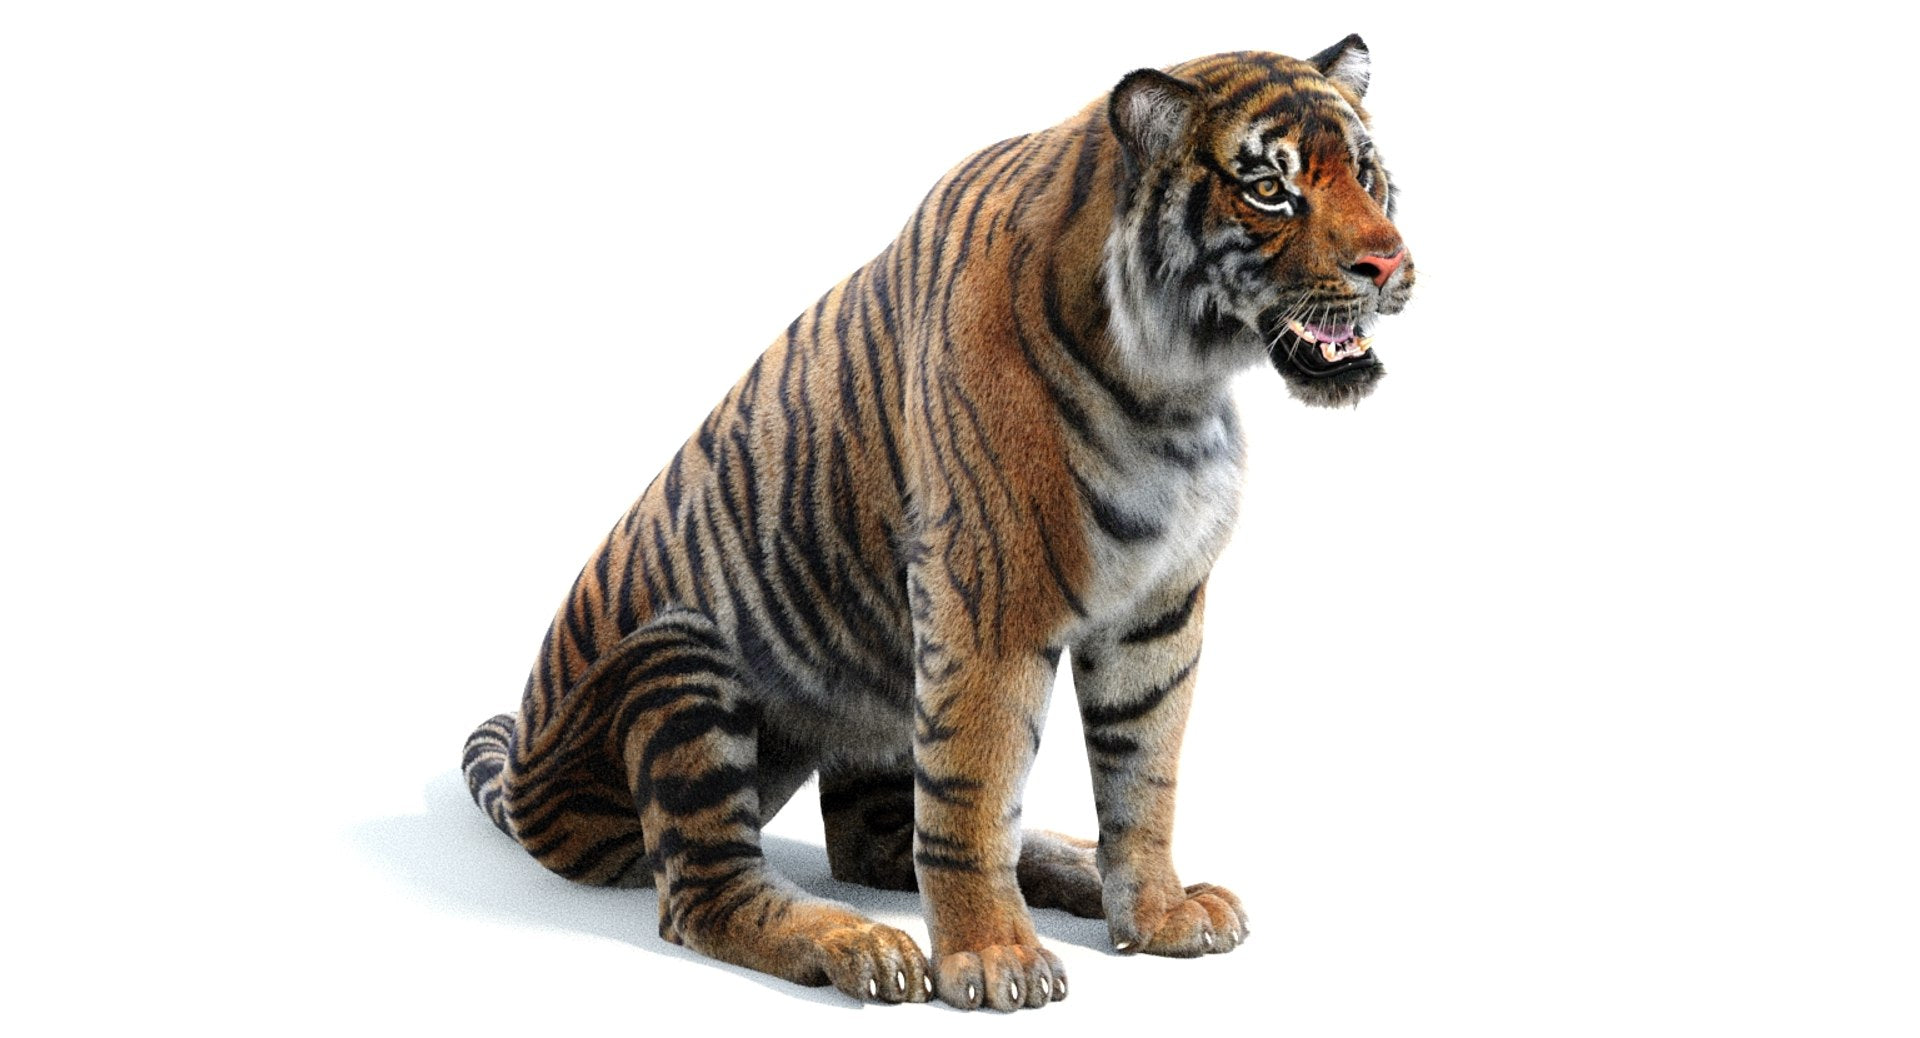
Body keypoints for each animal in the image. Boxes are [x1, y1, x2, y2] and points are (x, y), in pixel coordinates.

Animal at [462, 36, 1413, 1012]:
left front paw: (1156, 915)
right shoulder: (989, 600)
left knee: (873, 843)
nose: (1388, 265)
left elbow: (1144, 772)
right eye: (1269, 189)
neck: (1175, 388)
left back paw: (1069, 867)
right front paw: (995, 959)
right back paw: (861, 945)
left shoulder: (1160, 610)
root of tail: (523, 759)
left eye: (1368, 176)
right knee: (704, 894)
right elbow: (975, 793)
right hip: (677, 654)